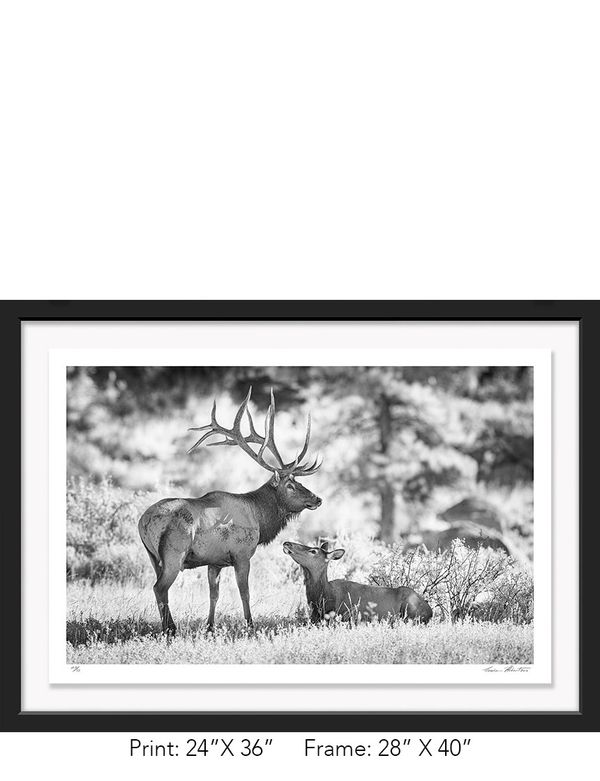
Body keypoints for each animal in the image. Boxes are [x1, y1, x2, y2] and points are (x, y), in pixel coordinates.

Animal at [138, 387, 322, 635]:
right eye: (290, 485)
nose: (317, 498)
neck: (260, 518)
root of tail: (143, 522)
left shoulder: (215, 561)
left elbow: (214, 595)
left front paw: (210, 627)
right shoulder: (242, 554)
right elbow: (245, 592)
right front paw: (250, 625)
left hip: (152, 557)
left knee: (160, 589)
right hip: (174, 552)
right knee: (160, 588)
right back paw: (171, 629)